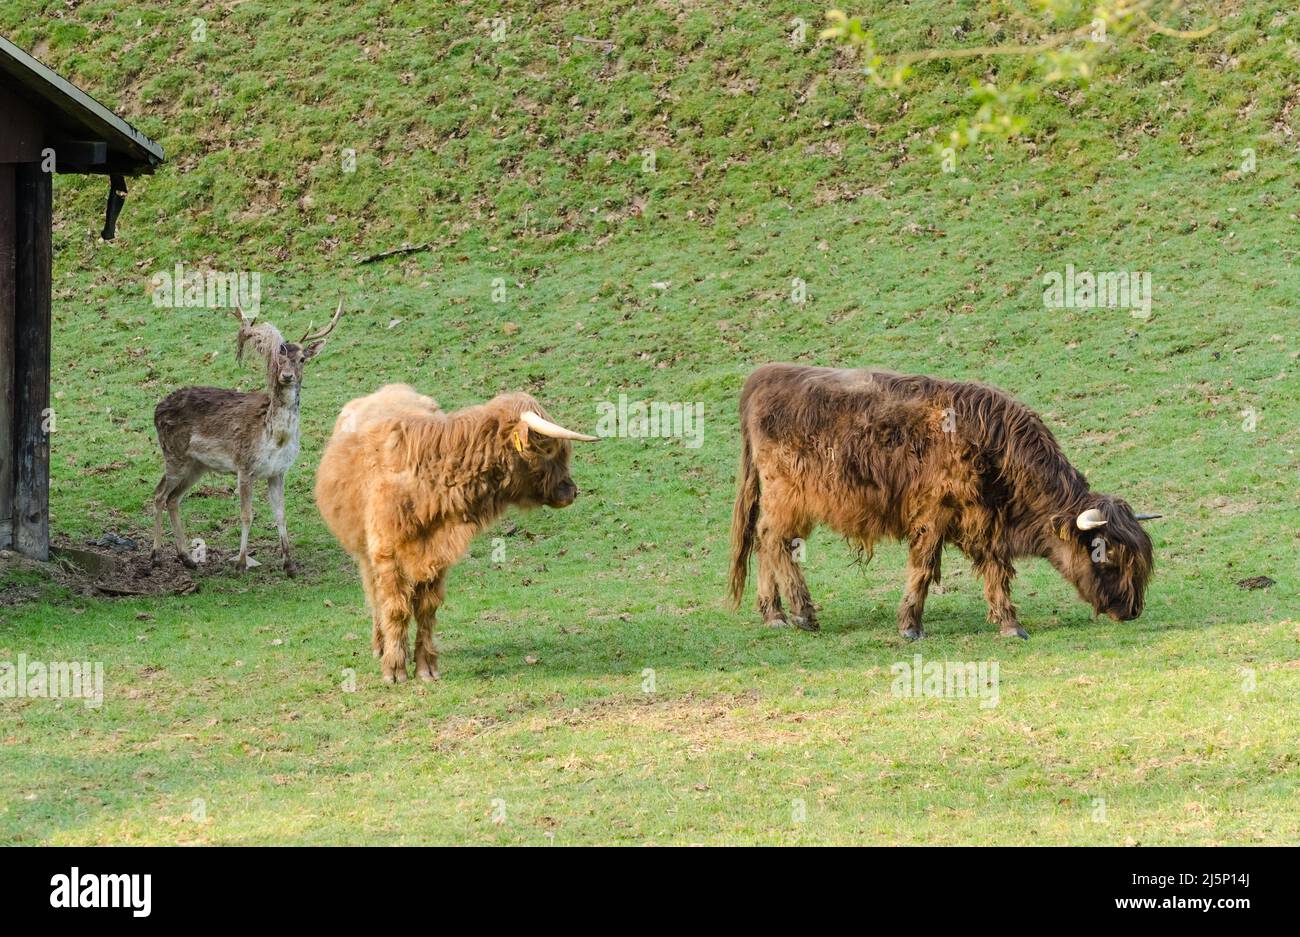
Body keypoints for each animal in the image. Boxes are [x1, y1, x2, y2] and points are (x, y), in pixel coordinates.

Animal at [149, 301, 343, 577]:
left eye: (302, 359)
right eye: (277, 358)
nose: (286, 376)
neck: (275, 438)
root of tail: (156, 409)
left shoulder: (278, 471)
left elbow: (281, 514)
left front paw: (289, 564)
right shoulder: (244, 465)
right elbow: (246, 515)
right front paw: (240, 563)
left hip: (196, 465)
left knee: (173, 498)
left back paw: (186, 558)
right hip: (174, 455)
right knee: (158, 494)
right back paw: (155, 557)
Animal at [733, 363, 1159, 636]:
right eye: (1105, 553)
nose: (1132, 609)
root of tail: (764, 375)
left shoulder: (987, 522)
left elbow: (996, 570)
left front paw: (1010, 624)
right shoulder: (934, 514)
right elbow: (923, 569)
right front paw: (910, 626)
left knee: (766, 542)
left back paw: (774, 615)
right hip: (787, 496)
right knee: (774, 541)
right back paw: (802, 615)